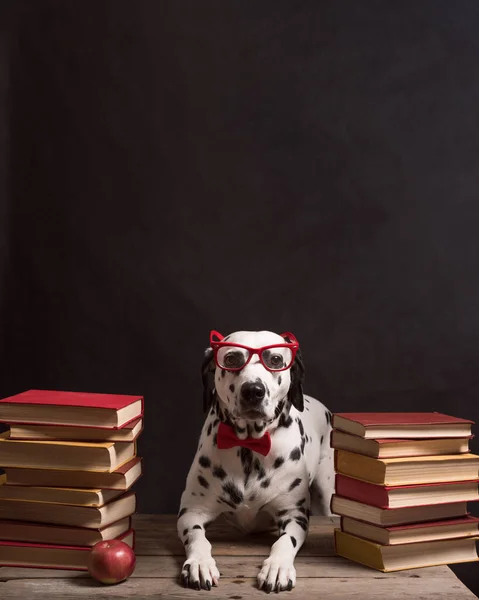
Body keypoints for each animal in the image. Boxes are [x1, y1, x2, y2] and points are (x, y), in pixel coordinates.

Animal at [176, 330, 334, 592]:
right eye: (231, 359)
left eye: (276, 359)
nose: (253, 390)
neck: (249, 446)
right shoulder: (192, 512)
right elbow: (198, 538)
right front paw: (199, 563)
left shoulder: (295, 515)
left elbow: (284, 542)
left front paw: (277, 567)